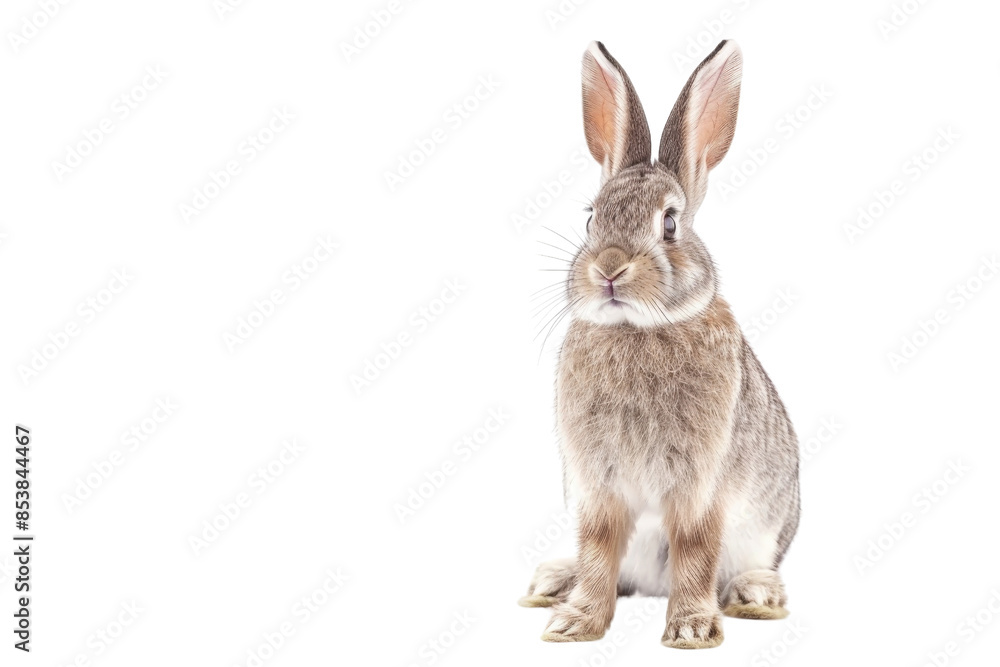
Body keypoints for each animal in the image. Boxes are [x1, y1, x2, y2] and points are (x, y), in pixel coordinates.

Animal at [519, 40, 800, 649]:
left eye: (669, 224)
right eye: (591, 219)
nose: (608, 268)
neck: (636, 330)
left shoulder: (699, 485)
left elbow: (695, 548)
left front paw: (691, 631)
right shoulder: (598, 488)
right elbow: (598, 550)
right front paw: (573, 624)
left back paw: (755, 594)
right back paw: (553, 583)